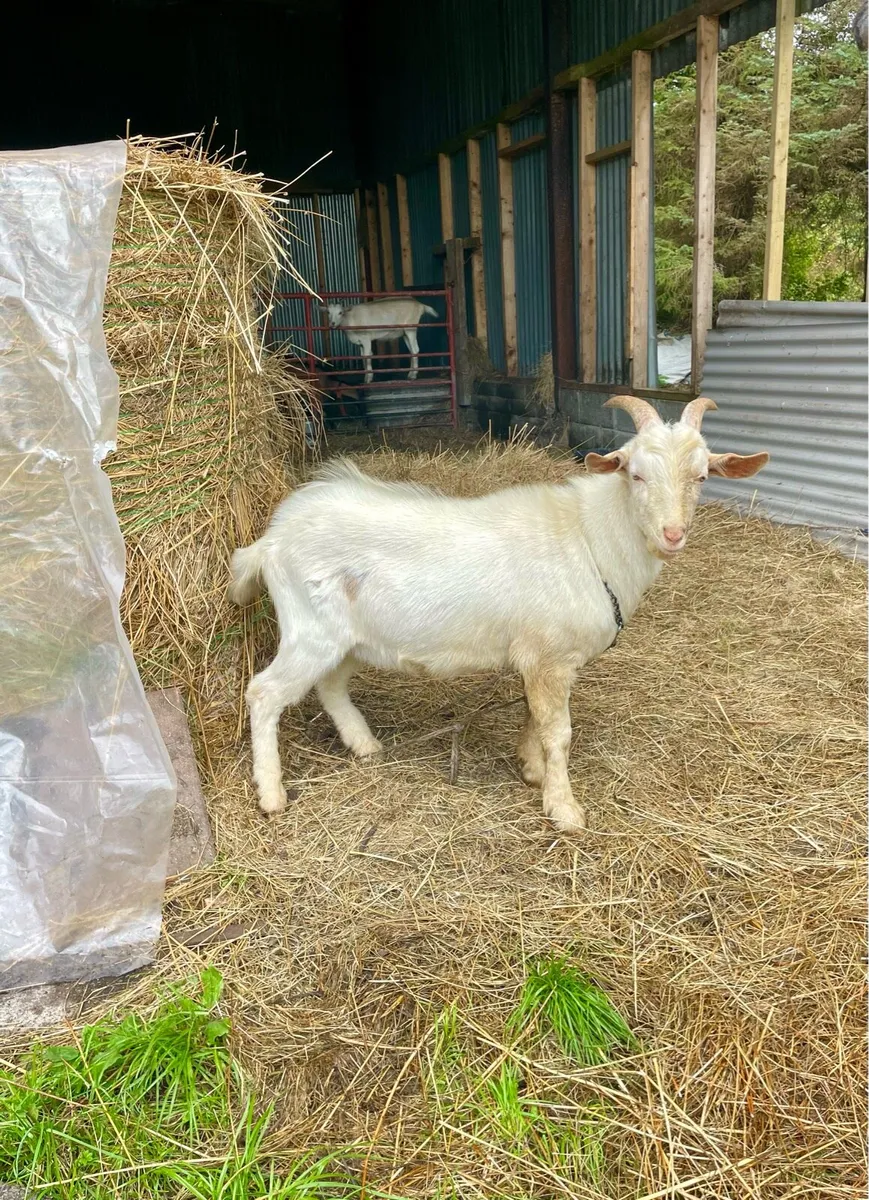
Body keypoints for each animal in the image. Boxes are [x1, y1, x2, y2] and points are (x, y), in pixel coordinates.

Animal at [229, 395, 769, 833]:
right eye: (635, 474)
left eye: (701, 476)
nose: (672, 534)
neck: (591, 539)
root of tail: (270, 540)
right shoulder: (551, 658)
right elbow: (559, 732)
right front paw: (564, 808)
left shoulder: (540, 658)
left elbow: (534, 716)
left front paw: (531, 770)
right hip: (310, 630)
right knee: (264, 693)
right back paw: (272, 794)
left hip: (349, 638)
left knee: (330, 684)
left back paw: (365, 746)